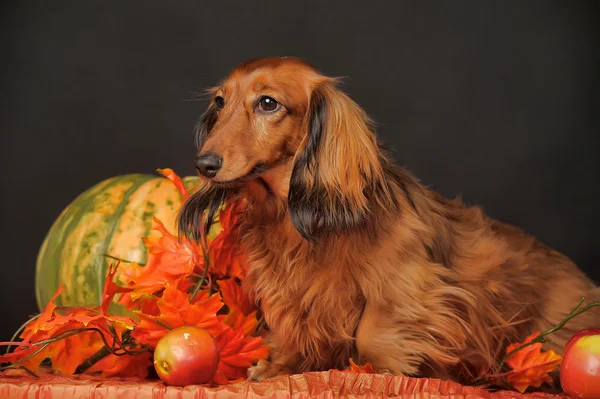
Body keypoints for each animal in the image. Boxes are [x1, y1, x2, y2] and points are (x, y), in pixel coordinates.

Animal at [179, 57, 600, 388]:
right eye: (220, 102)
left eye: (268, 103)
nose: (204, 164)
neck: (296, 218)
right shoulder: (286, 288)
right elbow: (289, 327)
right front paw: (278, 365)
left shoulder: (403, 284)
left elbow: (374, 330)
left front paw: (379, 370)